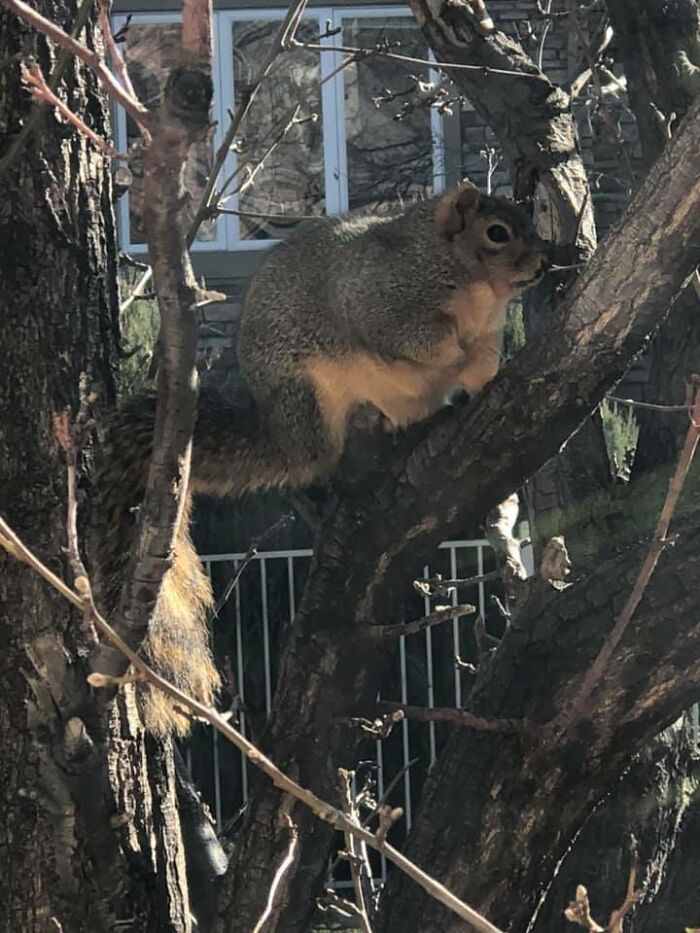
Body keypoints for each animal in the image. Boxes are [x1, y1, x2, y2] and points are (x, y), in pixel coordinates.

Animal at [94, 182, 545, 734]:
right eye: (496, 233)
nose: (544, 262)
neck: (472, 288)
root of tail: (282, 431)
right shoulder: (380, 298)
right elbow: (419, 339)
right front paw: (451, 351)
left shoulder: (485, 335)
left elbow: (481, 363)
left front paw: (483, 370)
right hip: (315, 394)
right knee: (326, 451)